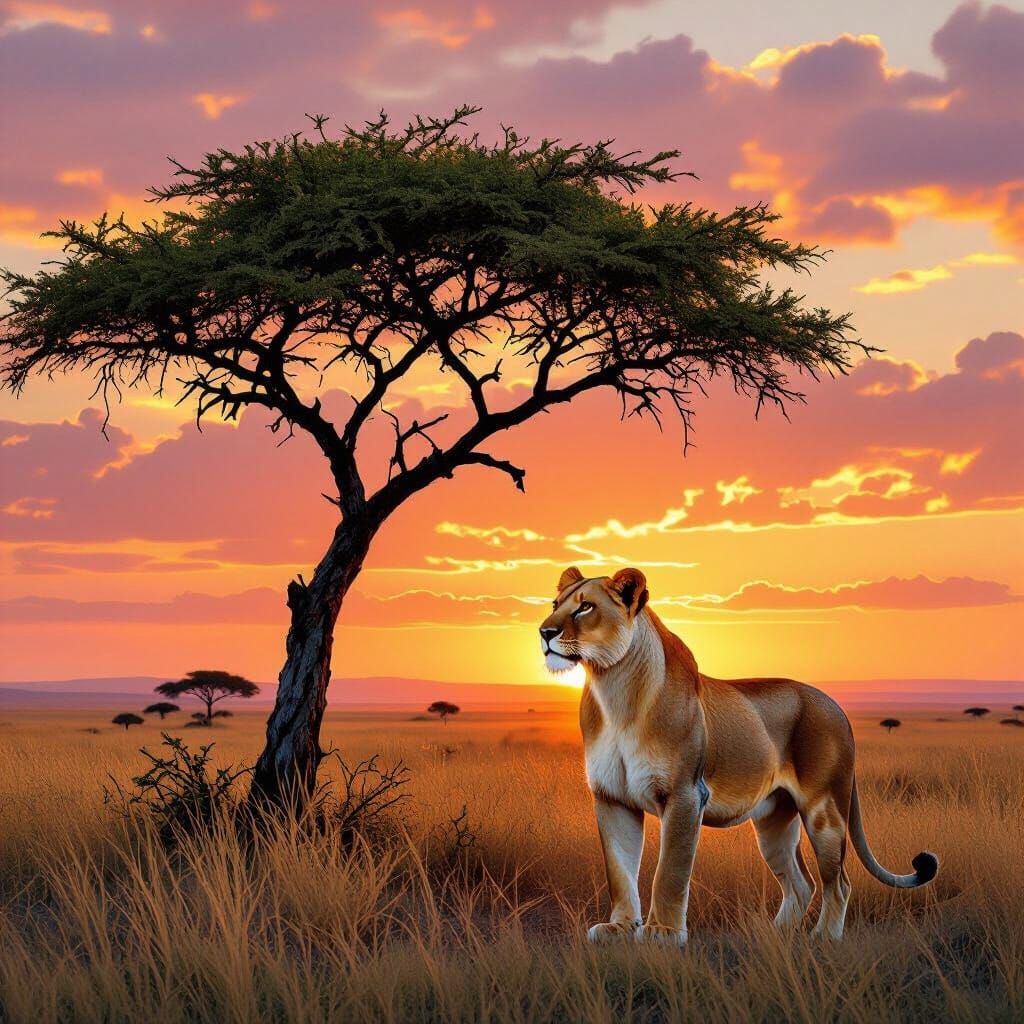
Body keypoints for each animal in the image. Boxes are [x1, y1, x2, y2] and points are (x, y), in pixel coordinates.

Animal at [539, 566, 938, 944]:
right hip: (775, 820)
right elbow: (619, 870)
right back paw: (773, 935)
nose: (544, 633)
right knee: (801, 883)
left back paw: (823, 938)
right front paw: (620, 929)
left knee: (837, 882)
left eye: (586, 607)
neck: (614, 689)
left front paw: (663, 933)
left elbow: (670, 871)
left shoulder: (685, 795)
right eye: (555, 604)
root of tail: (835, 705)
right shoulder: (612, 798)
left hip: (825, 810)